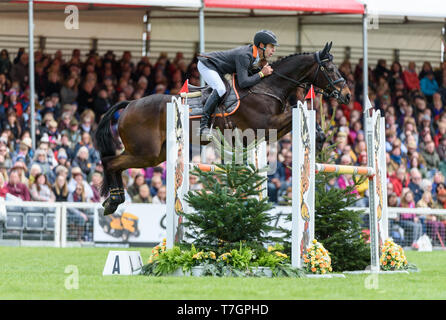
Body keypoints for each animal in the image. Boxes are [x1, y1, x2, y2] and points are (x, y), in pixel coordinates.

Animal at [95, 40, 352, 215]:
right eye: (330, 69)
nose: (348, 96)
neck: (268, 87)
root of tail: (130, 104)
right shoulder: (266, 124)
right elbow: (292, 114)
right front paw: (318, 141)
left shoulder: (268, 131)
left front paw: (320, 139)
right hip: (144, 152)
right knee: (110, 162)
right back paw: (113, 201)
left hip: (154, 154)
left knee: (115, 163)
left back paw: (111, 201)